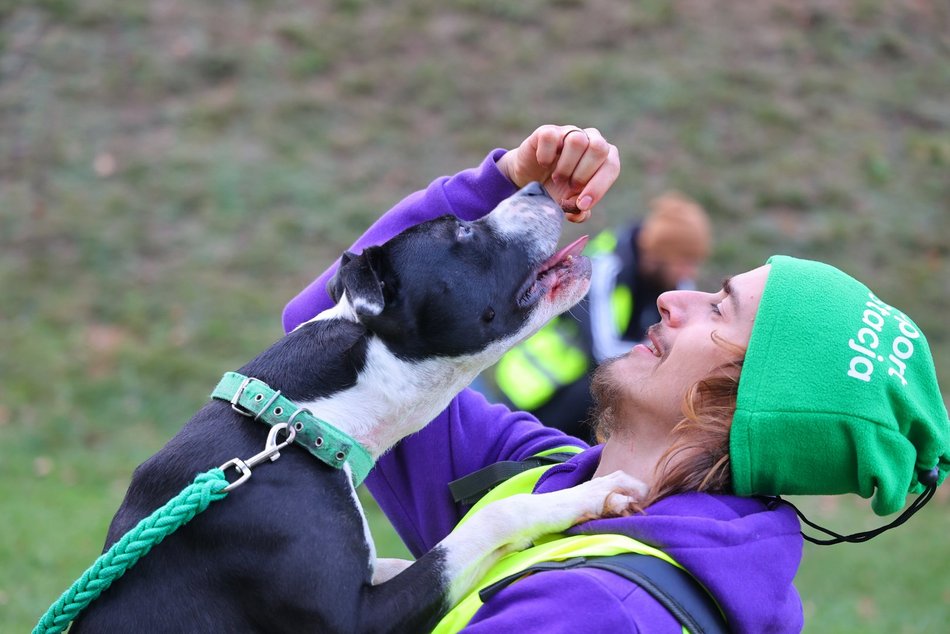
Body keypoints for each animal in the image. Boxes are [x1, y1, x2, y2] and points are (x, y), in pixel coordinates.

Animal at [70, 180, 644, 628]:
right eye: (459, 232)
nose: (540, 186)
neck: (296, 422)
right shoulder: (355, 618)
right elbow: (490, 517)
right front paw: (587, 494)